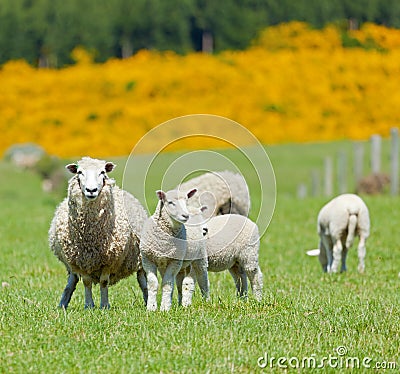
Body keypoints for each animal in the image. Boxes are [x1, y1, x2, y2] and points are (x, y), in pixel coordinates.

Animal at [48, 156, 148, 308]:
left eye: (102, 172)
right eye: (79, 172)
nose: (91, 190)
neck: (90, 235)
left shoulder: (108, 260)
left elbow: (104, 282)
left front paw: (104, 305)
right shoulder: (81, 260)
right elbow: (86, 282)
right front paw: (89, 305)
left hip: (139, 257)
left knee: (143, 280)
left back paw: (149, 301)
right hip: (71, 264)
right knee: (72, 281)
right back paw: (62, 304)